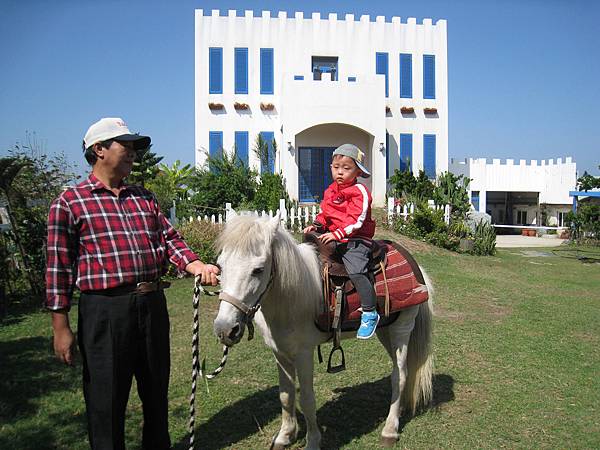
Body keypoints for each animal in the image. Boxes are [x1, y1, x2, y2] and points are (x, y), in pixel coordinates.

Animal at [213, 213, 434, 448]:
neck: (291, 296)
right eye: (220, 266)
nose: (225, 329)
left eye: (258, 270)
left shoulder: (303, 354)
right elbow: (286, 395)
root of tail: (415, 265)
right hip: (386, 331)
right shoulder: (280, 353)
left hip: (401, 330)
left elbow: (307, 399)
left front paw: (312, 441)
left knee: (399, 375)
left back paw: (390, 430)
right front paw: (285, 435)